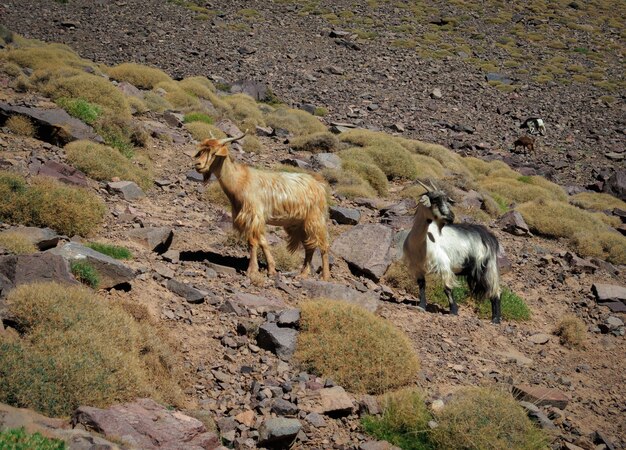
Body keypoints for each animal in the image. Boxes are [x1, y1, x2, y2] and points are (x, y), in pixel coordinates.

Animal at [194, 132, 332, 280]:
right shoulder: (254, 218)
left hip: (315, 219)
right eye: (201, 151)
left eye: (214, 153)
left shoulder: (253, 215)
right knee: (309, 246)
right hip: (301, 223)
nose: (197, 164)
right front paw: (271, 269)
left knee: (323, 245)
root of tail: (319, 185)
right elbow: (263, 242)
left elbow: (252, 242)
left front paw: (252, 270)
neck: (240, 180)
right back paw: (303, 274)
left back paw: (325, 276)